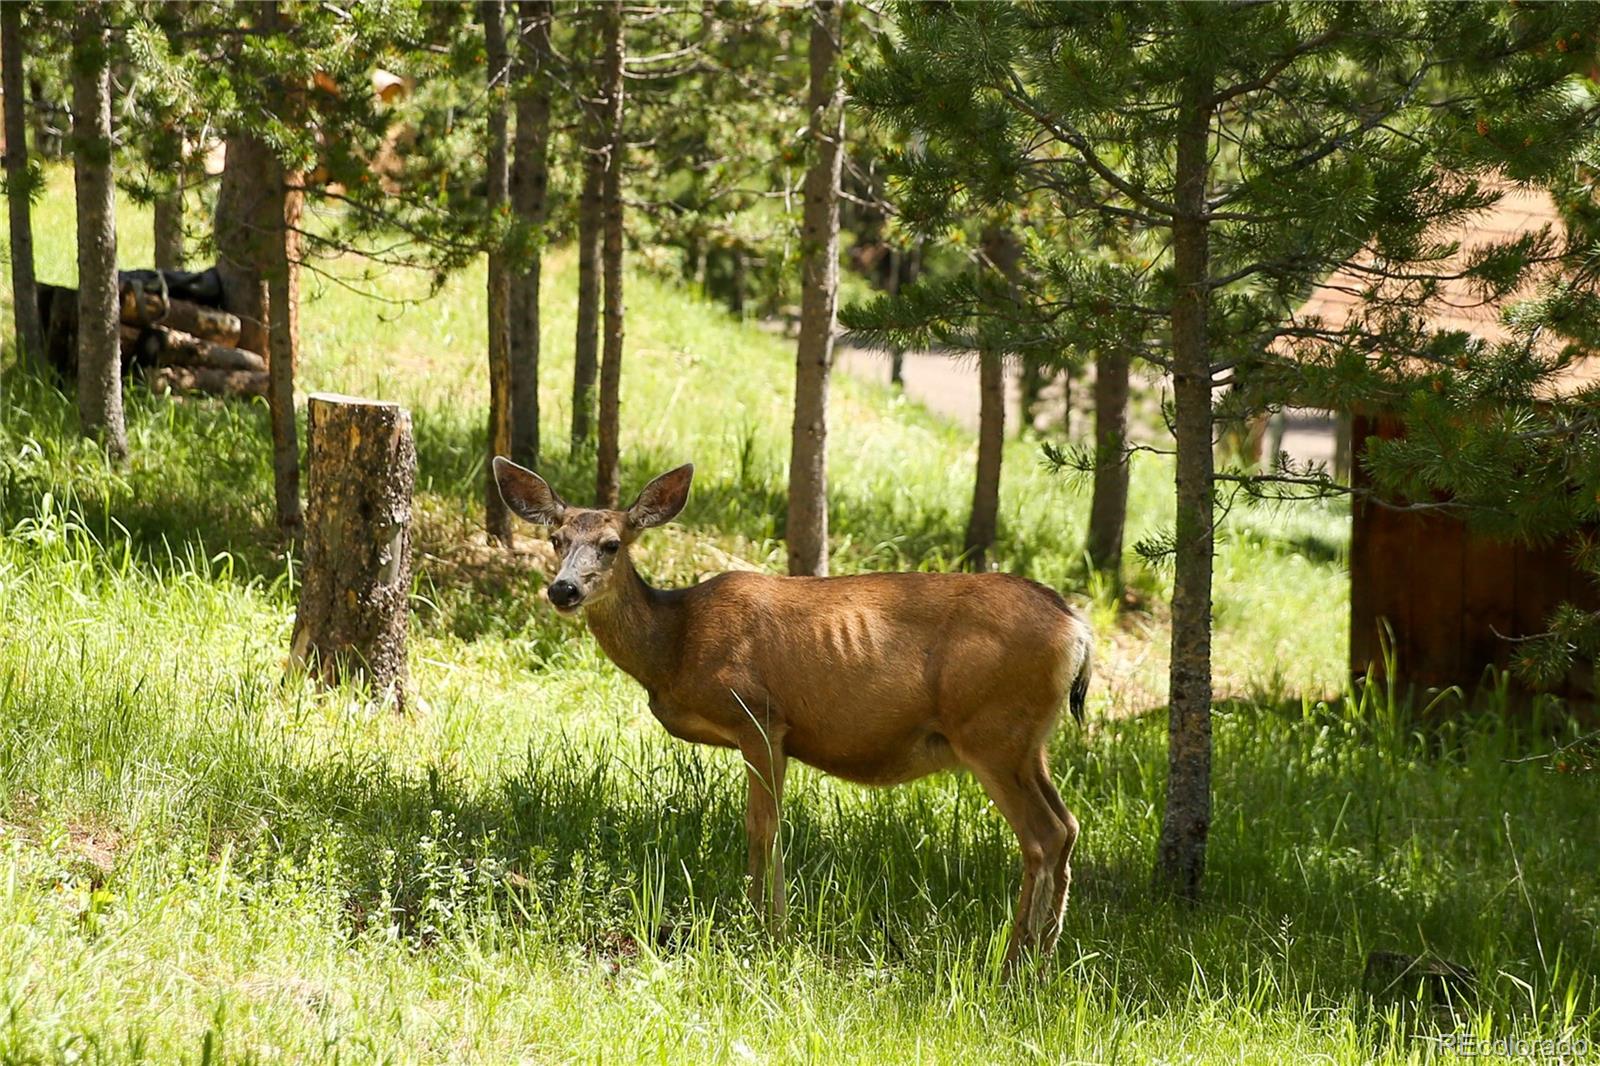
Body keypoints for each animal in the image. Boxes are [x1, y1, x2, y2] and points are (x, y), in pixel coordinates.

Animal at [492, 457, 1094, 960]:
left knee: (1042, 836)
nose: (564, 590)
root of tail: (1076, 628)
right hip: (1027, 742)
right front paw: (764, 921)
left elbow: (764, 826)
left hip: (990, 730)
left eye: (613, 543)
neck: (675, 645)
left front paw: (769, 930)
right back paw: (1046, 957)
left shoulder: (759, 716)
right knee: (1068, 826)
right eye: (556, 538)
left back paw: (1015, 962)